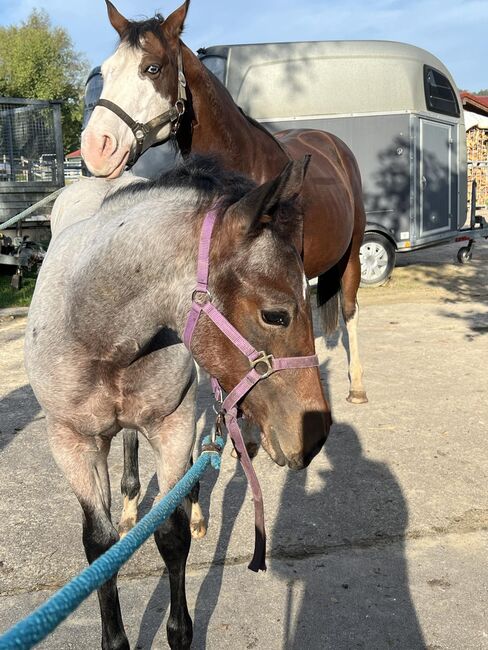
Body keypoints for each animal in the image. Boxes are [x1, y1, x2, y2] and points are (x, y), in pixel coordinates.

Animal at [24, 157, 330, 648]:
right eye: (275, 314)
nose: (315, 436)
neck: (95, 330)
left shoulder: (173, 425)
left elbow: (171, 534)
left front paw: (180, 631)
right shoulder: (71, 442)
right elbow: (99, 547)